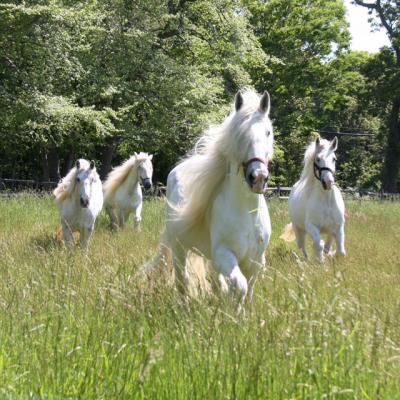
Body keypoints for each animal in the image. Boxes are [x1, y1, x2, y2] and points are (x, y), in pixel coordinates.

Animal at [147, 89, 276, 310]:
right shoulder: (224, 254)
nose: (258, 177)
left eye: (267, 132)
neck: (247, 213)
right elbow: (239, 286)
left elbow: (248, 289)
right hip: (179, 248)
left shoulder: (256, 260)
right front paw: (236, 314)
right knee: (182, 280)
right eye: (240, 135)